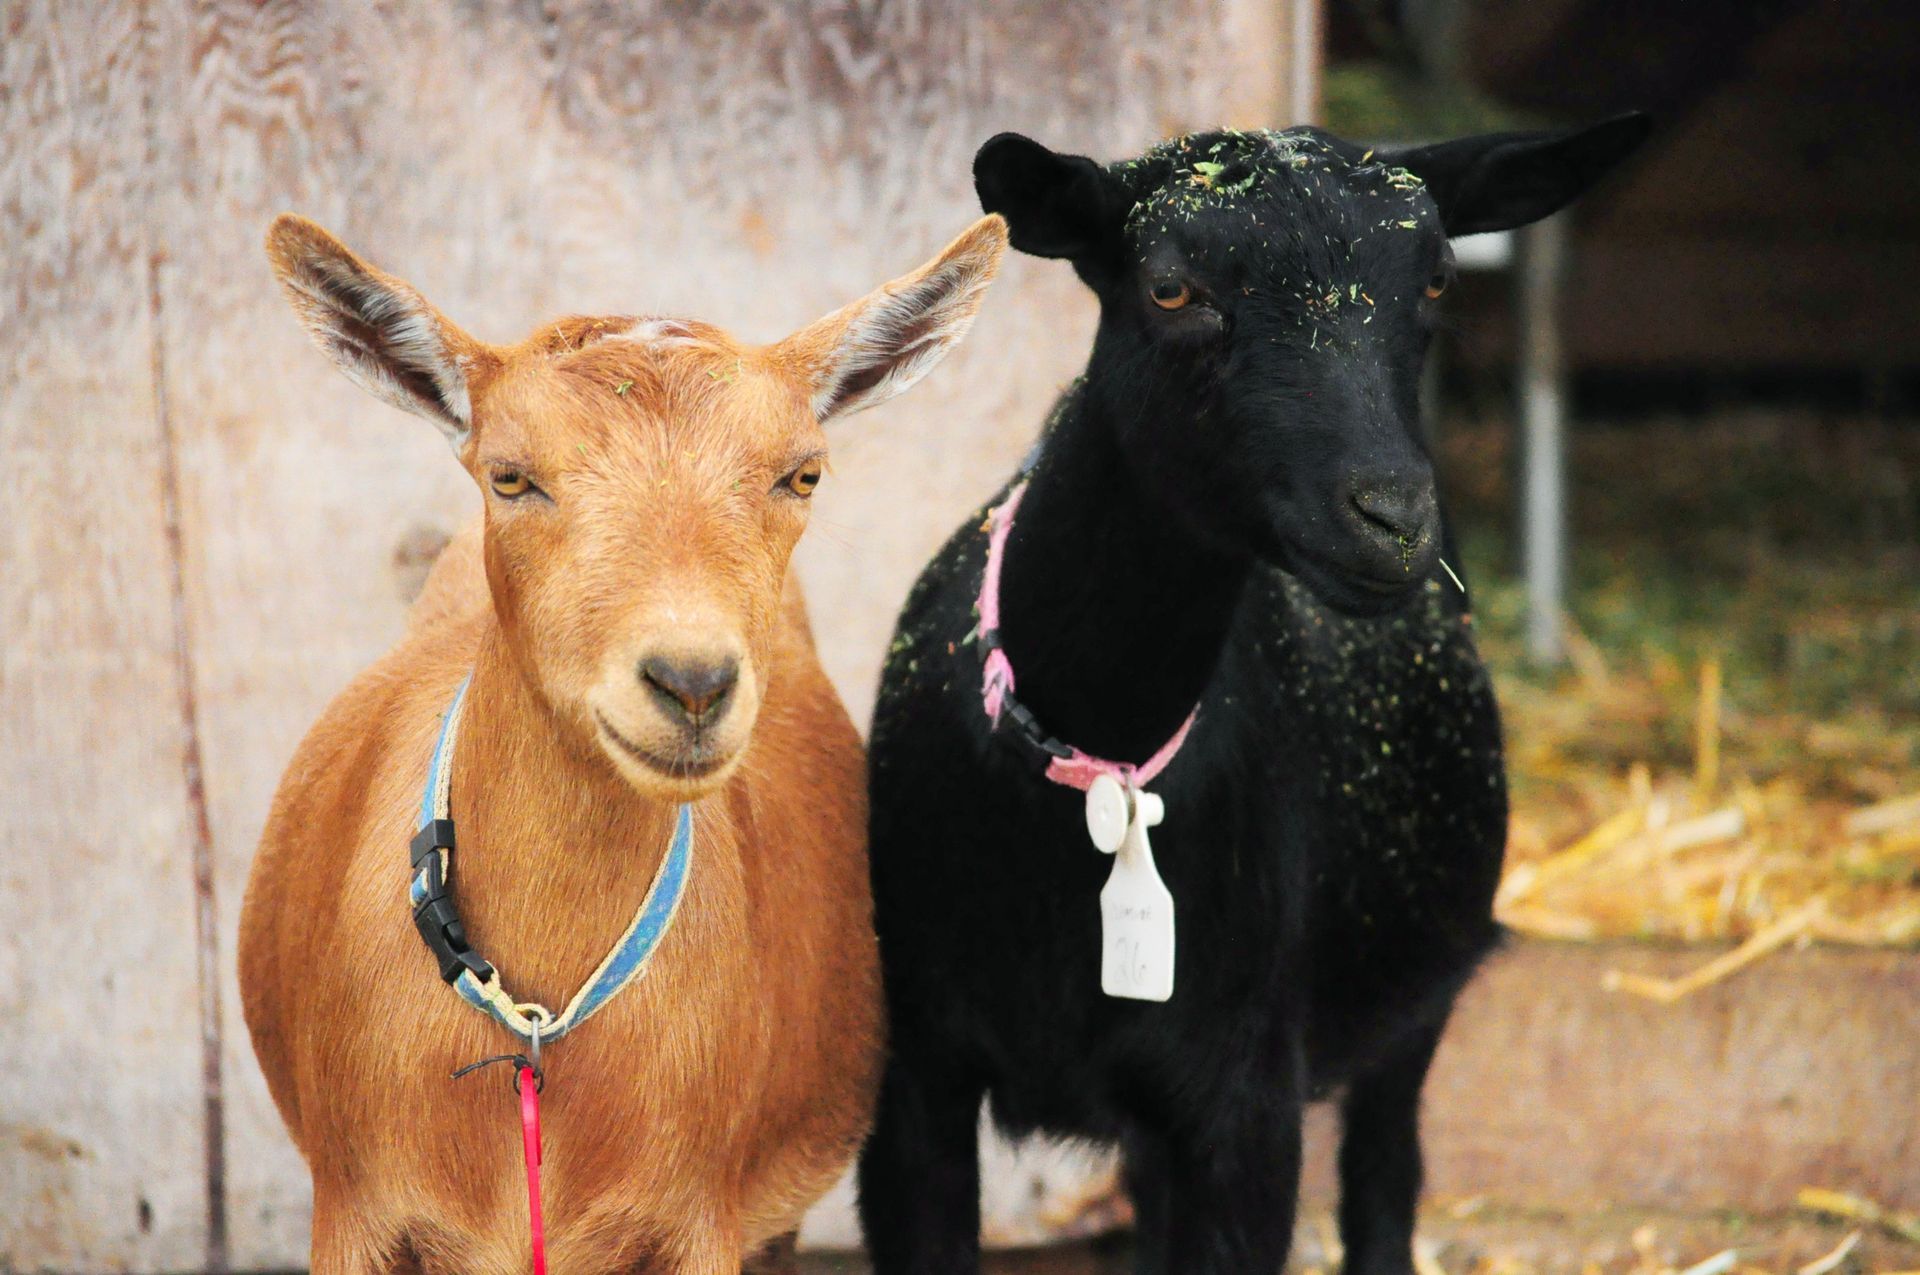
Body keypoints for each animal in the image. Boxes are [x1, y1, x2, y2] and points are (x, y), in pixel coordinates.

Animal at [239, 211, 1007, 1274]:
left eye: (801, 472)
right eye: (510, 475)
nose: (691, 681)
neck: (538, 1027)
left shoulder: (697, 1216)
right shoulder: (353, 1209)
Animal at [857, 117, 1649, 1274]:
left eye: (1438, 278)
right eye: (1170, 287)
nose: (1392, 518)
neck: (1100, 762)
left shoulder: (1244, 1100)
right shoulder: (916, 1079)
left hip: (1415, 996)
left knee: (1386, 1175)